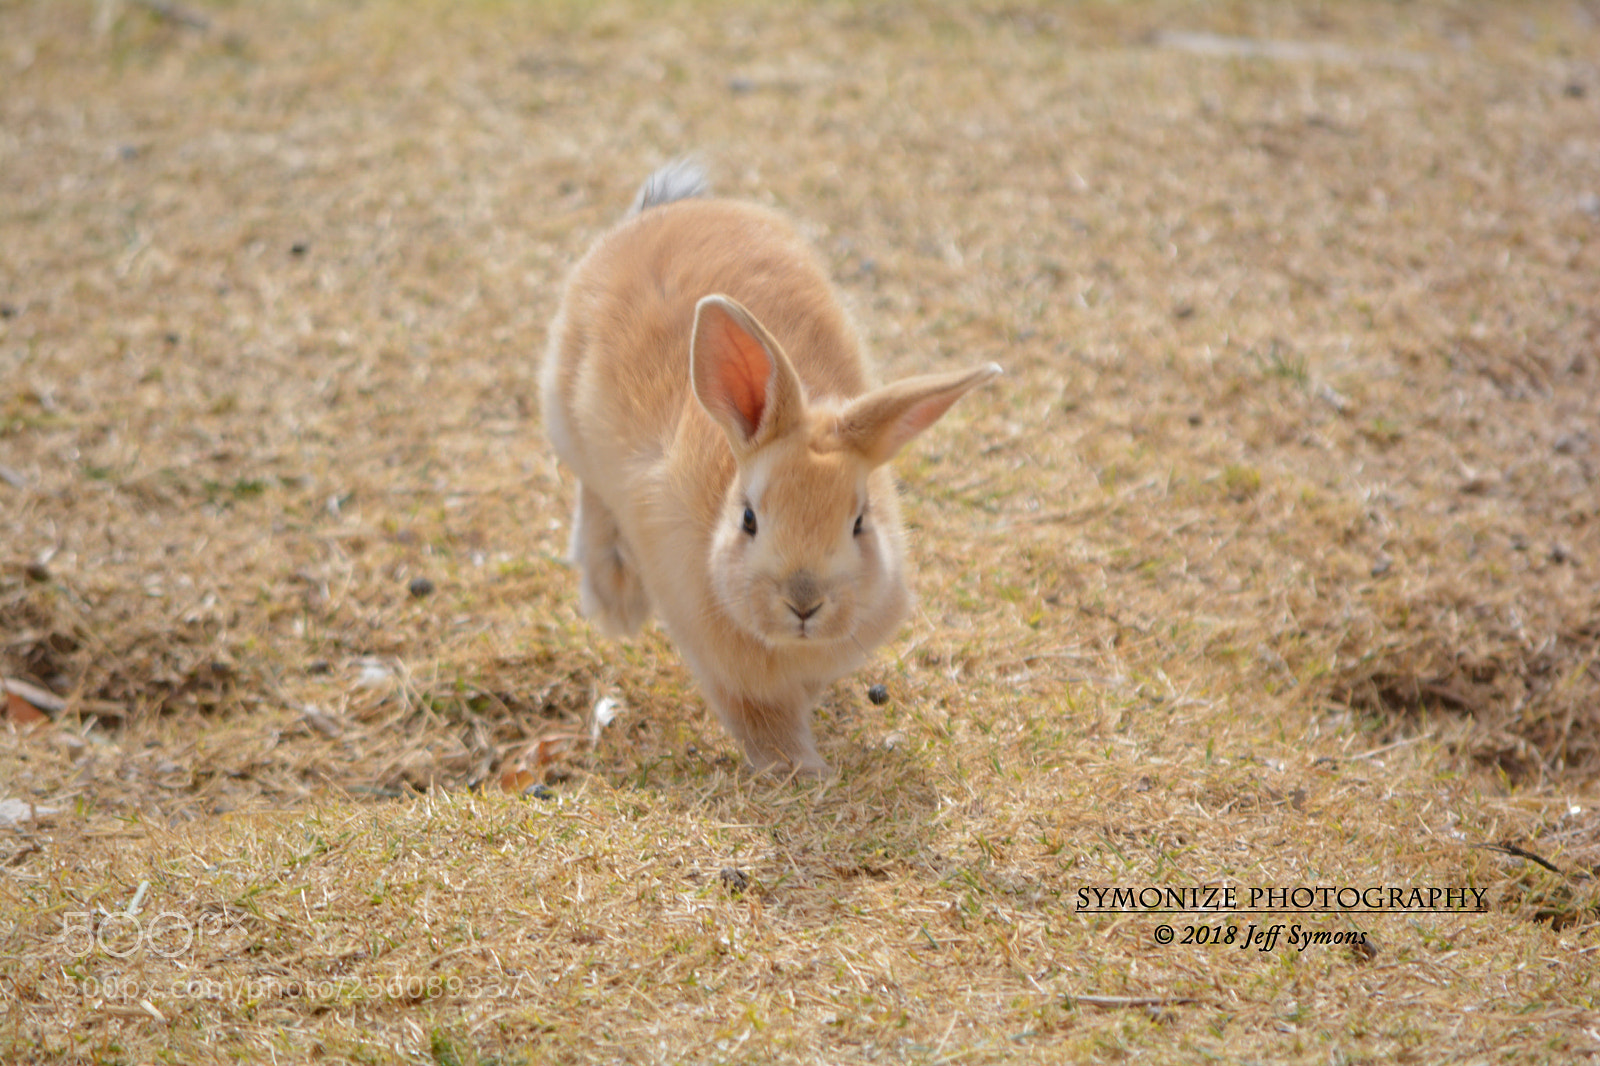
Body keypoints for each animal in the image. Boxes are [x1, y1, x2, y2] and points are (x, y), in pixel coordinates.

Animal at [539, 161, 1000, 775]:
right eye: (750, 519)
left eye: (860, 522)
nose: (803, 603)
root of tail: (664, 212)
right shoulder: (729, 673)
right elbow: (763, 722)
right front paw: (803, 772)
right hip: (567, 422)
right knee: (592, 497)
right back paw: (616, 600)